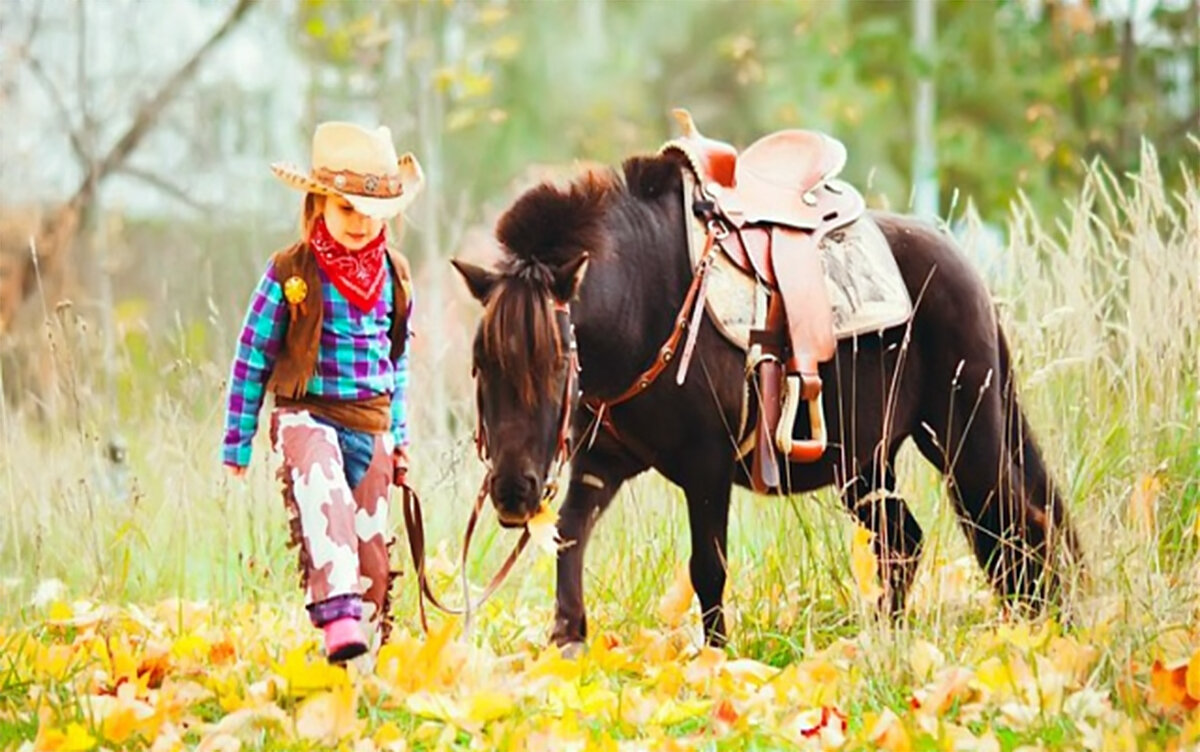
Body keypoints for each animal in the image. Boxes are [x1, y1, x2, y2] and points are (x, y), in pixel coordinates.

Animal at [451, 152, 1089, 647]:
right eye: (480, 366)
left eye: (557, 362)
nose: (511, 494)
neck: (646, 305)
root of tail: (968, 271)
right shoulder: (602, 461)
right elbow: (570, 534)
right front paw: (568, 639)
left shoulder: (706, 468)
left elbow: (708, 568)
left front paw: (717, 657)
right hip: (864, 463)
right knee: (904, 541)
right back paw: (887, 636)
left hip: (964, 432)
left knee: (1019, 519)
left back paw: (1046, 624)